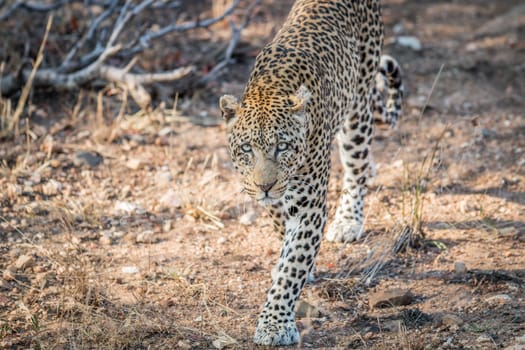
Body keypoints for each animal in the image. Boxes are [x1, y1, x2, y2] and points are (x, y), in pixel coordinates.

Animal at [219, 0, 404, 344]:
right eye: (247, 149)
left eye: (283, 147)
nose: (264, 186)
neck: (269, 88)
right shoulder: (275, 202)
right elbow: (285, 236)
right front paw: (300, 264)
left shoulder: (309, 206)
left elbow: (292, 266)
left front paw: (275, 324)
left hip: (358, 108)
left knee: (356, 166)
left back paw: (348, 220)